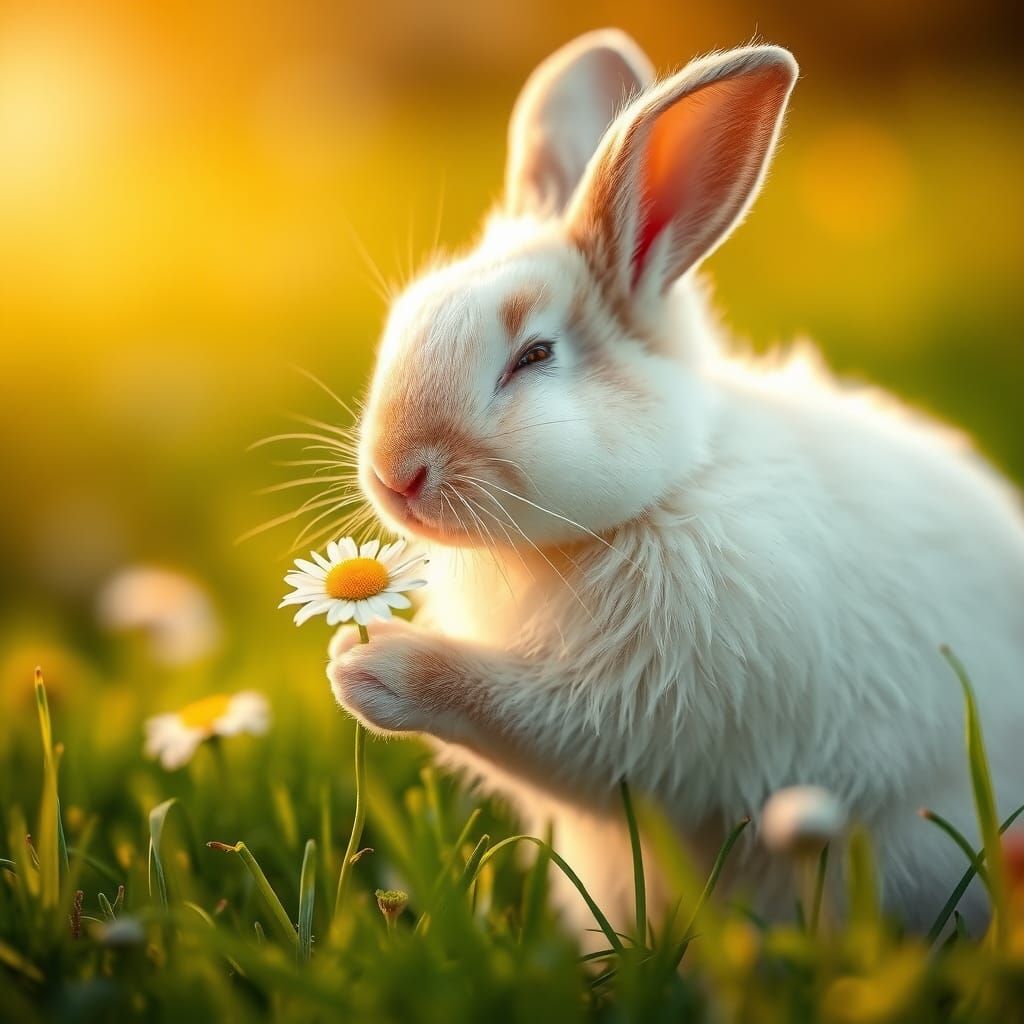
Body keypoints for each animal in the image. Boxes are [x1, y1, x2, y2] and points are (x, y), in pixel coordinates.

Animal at [326, 30, 1024, 935]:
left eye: (534, 356)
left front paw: (368, 670)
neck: (665, 493)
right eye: (407, 314)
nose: (393, 474)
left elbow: (525, 717)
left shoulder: (650, 714)